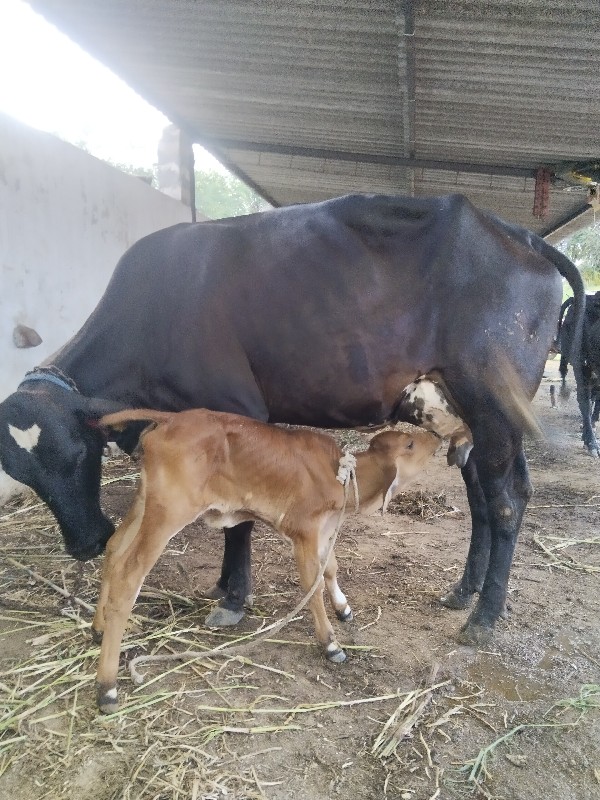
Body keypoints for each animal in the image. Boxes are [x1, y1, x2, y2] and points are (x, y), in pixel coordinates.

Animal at [0, 192, 584, 644]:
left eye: (79, 452)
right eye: (22, 472)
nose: (86, 544)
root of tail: (518, 235)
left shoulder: (236, 410)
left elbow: (238, 520)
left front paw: (233, 598)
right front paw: (225, 589)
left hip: (493, 407)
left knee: (507, 502)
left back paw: (484, 618)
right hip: (471, 423)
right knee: (485, 499)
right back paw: (464, 593)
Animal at [95, 412, 440, 712]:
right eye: (410, 444)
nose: (436, 437)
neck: (339, 475)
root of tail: (171, 418)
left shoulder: (325, 531)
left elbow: (330, 568)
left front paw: (343, 608)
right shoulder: (304, 533)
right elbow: (312, 589)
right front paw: (330, 643)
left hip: (145, 503)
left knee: (113, 548)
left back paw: (99, 627)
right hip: (169, 511)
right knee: (129, 573)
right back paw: (107, 686)